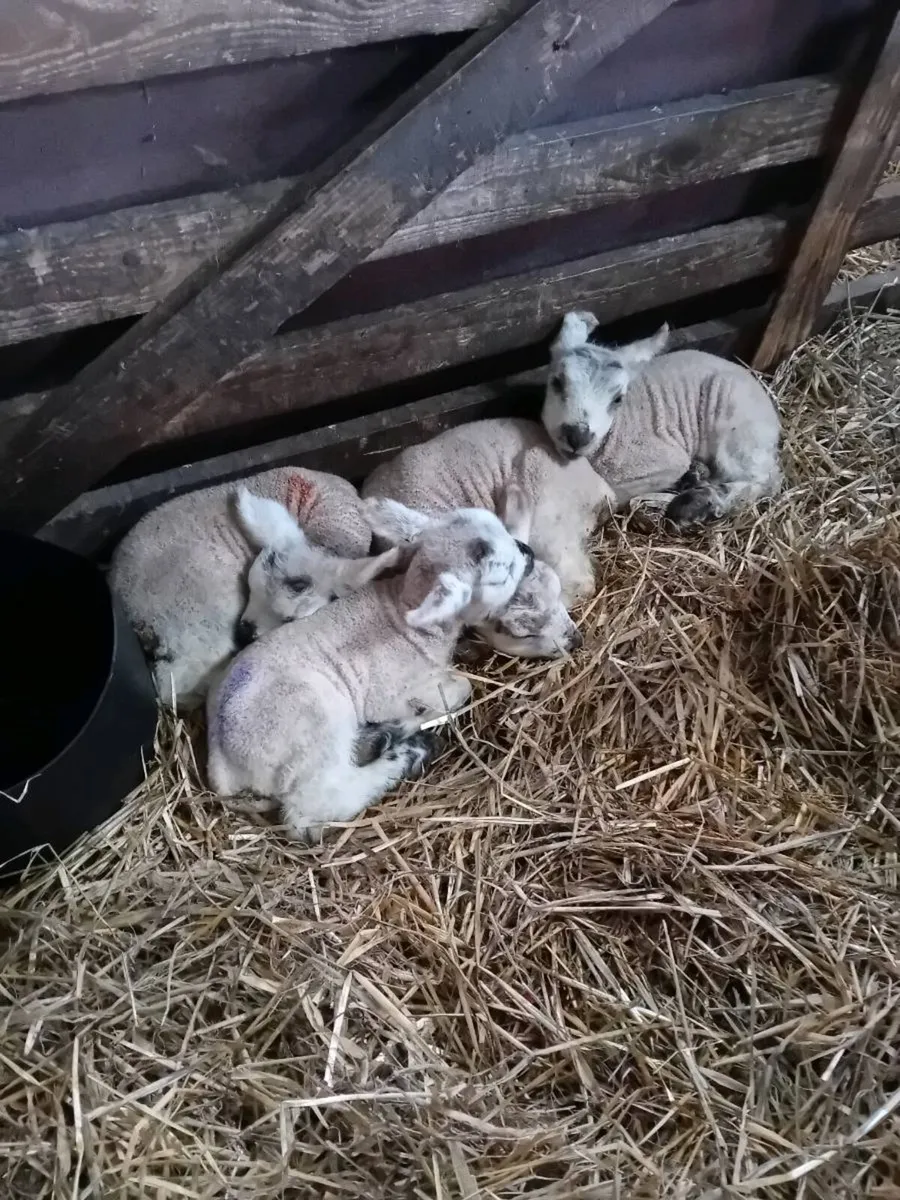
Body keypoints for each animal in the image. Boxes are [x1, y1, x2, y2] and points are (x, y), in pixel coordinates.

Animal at [109, 467, 395, 711]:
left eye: (290, 619)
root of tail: (136, 613)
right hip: (196, 623)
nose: (245, 633)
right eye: (250, 586)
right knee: (176, 683)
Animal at [206, 498, 537, 841]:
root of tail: (221, 763)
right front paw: (419, 715)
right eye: (502, 575)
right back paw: (409, 751)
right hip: (312, 724)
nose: (528, 551)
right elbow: (462, 687)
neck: (404, 612)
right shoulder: (387, 692)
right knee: (312, 808)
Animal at [542, 311, 782, 524]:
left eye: (618, 399)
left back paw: (694, 503)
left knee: (767, 478)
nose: (578, 436)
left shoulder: (665, 462)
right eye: (557, 382)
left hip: (740, 433)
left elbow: (616, 496)